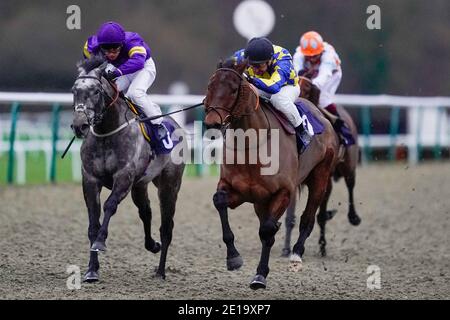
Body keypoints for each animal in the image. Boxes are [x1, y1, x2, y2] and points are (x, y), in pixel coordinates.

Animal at [71, 56, 184, 282]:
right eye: (74, 90)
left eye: (96, 91)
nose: (80, 125)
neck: (107, 133)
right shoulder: (90, 180)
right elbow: (93, 222)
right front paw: (91, 270)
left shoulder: (123, 178)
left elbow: (109, 206)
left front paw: (100, 242)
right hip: (140, 185)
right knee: (145, 212)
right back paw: (152, 245)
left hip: (169, 185)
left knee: (166, 227)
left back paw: (160, 271)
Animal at [202, 58, 340, 288]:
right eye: (209, 86)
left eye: (233, 89)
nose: (212, 122)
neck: (251, 146)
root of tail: (322, 115)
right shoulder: (236, 190)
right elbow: (219, 201)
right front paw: (233, 258)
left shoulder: (283, 192)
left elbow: (267, 231)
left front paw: (260, 275)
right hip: (261, 202)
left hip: (320, 178)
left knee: (307, 218)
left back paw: (296, 256)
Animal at [284, 75, 364, 258]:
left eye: (307, 89)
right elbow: (290, 216)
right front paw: (286, 248)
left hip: (348, 166)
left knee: (350, 185)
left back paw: (353, 217)